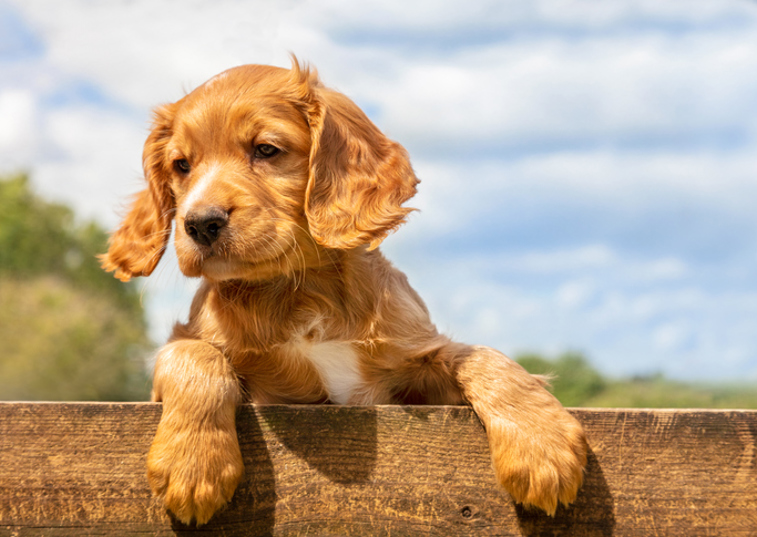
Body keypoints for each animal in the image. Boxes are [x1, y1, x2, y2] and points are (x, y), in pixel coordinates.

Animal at [102, 58, 584, 524]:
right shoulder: (208, 362)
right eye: (181, 165)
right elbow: (192, 354)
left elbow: (482, 355)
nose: (201, 223)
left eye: (266, 150)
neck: (304, 293)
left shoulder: (411, 365)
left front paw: (542, 446)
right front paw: (193, 464)